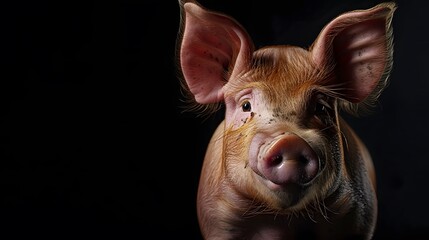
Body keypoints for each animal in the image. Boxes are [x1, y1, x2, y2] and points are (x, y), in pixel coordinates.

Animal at [175, 0, 394, 239]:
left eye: (321, 107)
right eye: (246, 106)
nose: (289, 141)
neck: (281, 221)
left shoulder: (357, 213)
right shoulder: (217, 217)